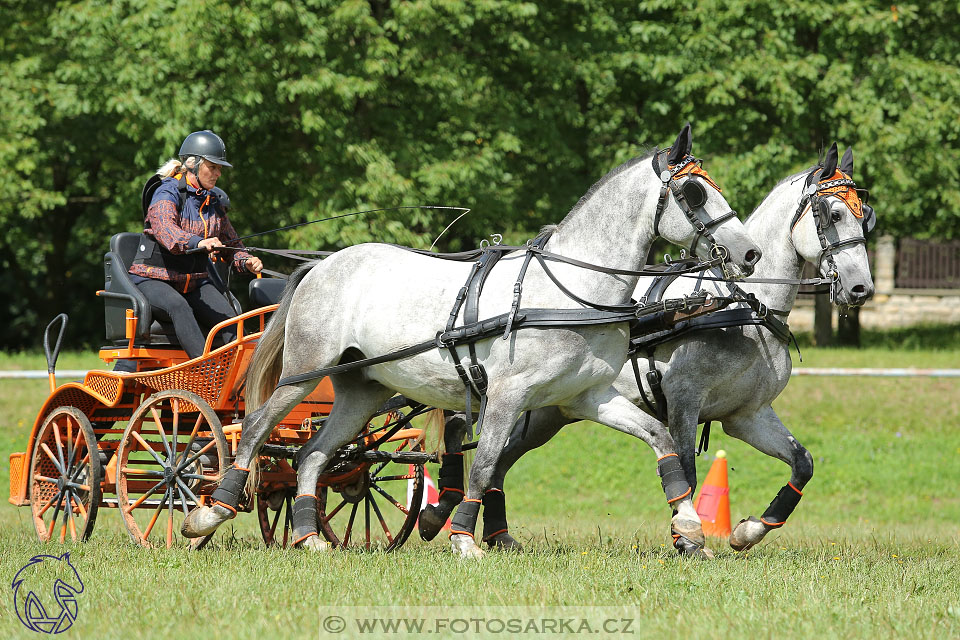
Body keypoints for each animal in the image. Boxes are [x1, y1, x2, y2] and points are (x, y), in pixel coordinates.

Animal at [184, 124, 760, 556]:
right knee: (255, 429)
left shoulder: (588, 396)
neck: (568, 289)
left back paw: (308, 536)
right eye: (694, 192)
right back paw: (207, 514)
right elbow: (484, 464)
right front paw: (463, 539)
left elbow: (661, 440)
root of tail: (321, 265)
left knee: (313, 454)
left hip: (360, 389)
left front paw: (687, 526)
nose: (750, 254)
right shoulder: (507, 394)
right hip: (304, 373)